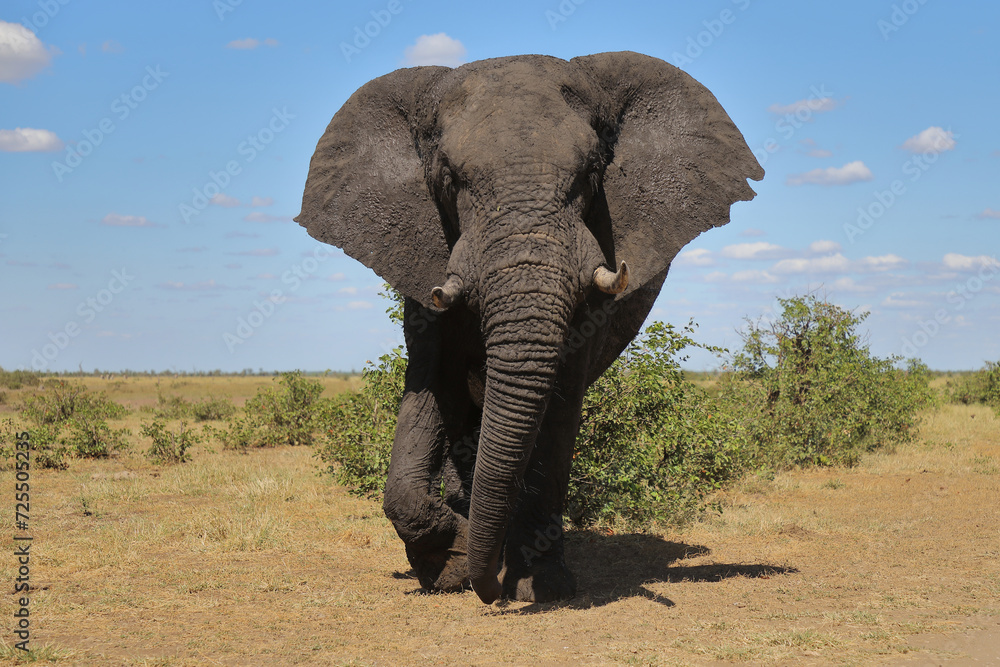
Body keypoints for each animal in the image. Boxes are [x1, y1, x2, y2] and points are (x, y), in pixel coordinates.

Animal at [295, 51, 763, 604]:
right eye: (450, 178)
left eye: (590, 174)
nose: (487, 592)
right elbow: (431, 384)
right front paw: (452, 564)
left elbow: (557, 404)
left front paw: (537, 587)